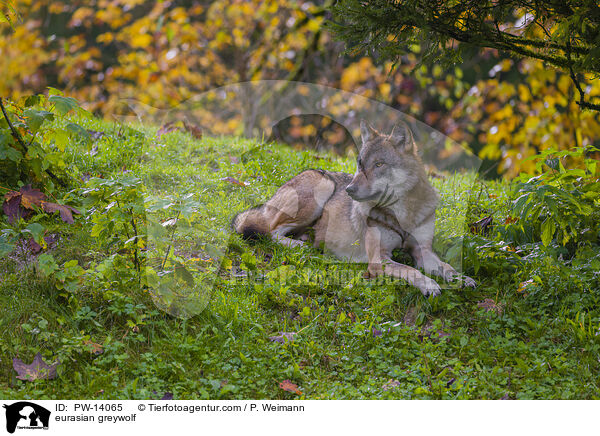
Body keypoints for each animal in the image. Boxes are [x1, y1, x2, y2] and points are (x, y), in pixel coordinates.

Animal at [232, 120, 476, 296]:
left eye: (379, 164)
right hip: (322, 187)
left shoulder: (422, 250)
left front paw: (463, 280)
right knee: (270, 231)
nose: (349, 189)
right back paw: (300, 246)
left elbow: (447, 266)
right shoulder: (379, 259)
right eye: (360, 163)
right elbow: (410, 269)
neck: (401, 214)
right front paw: (429, 285)